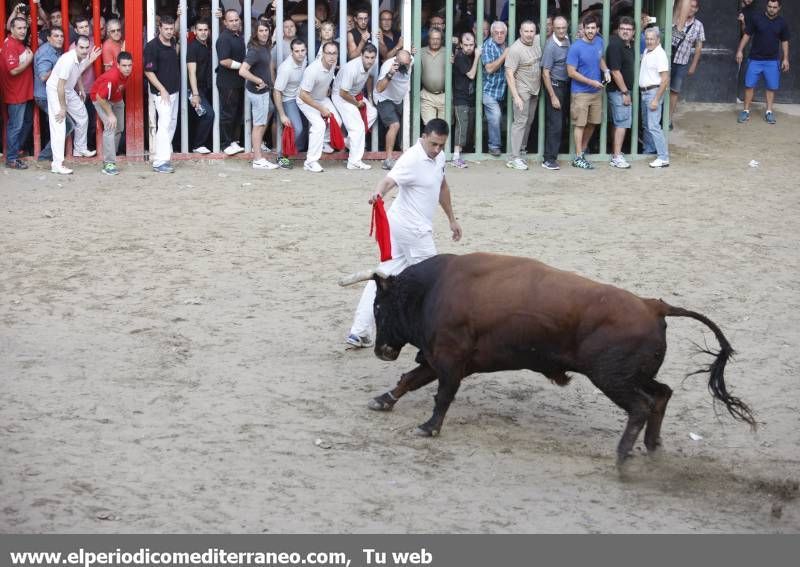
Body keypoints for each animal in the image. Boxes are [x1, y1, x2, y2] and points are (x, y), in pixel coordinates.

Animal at [340, 254, 752, 466]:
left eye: (379, 306)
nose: (381, 351)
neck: (431, 291)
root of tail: (653, 305)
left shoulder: (449, 360)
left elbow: (441, 395)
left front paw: (429, 427)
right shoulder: (438, 358)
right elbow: (409, 380)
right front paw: (383, 400)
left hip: (611, 378)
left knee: (641, 405)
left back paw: (622, 454)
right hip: (632, 375)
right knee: (662, 394)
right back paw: (652, 445)